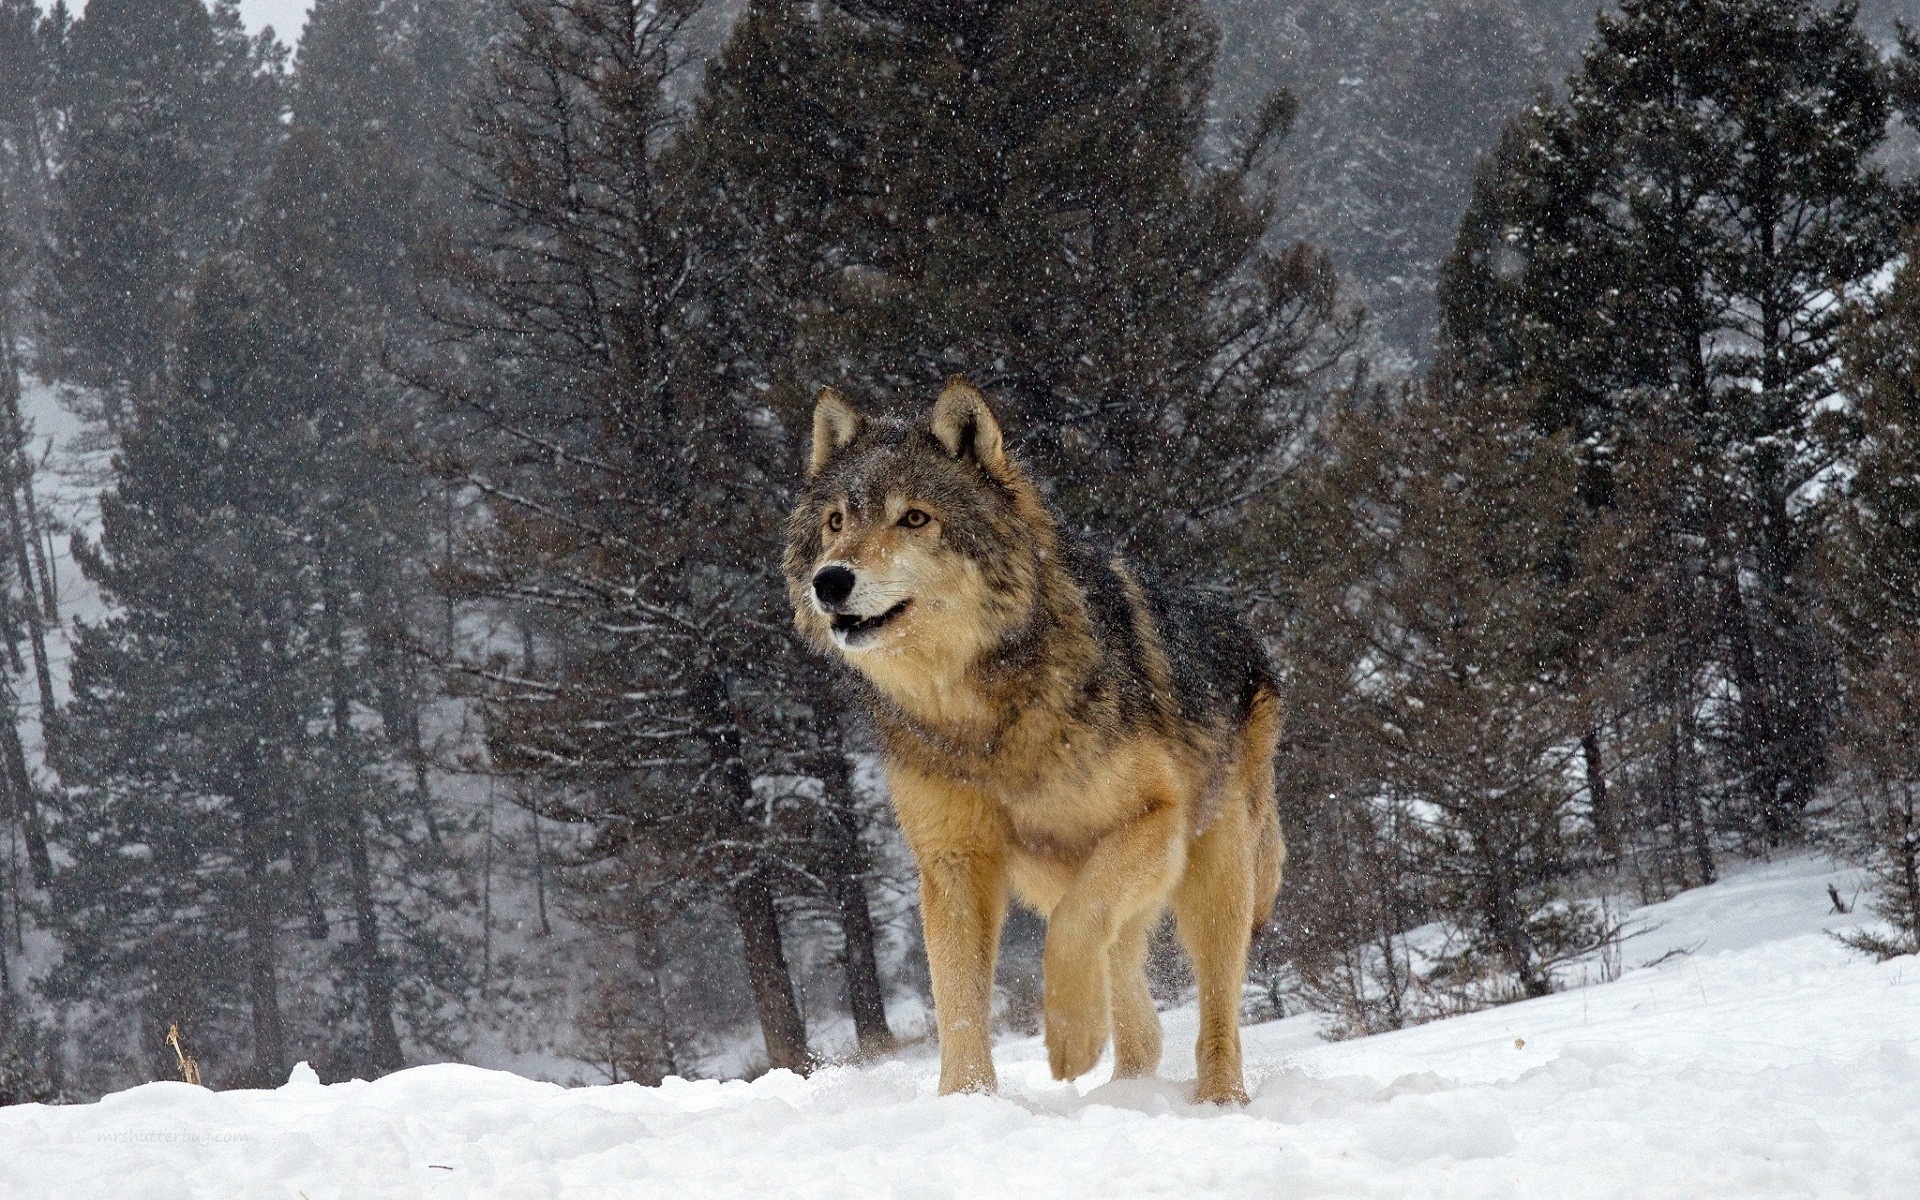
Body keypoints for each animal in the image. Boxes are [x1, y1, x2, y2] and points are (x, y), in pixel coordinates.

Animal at [787, 378, 1282, 1098]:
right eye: (836, 522)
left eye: (915, 518)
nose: (829, 580)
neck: (981, 719)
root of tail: (1243, 631)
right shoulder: (954, 863)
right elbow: (959, 1002)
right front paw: (967, 1102)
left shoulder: (1154, 817)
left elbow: (1078, 925)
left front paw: (1071, 1039)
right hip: (1065, 876)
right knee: (1134, 994)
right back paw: (1127, 1084)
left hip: (1212, 876)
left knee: (1213, 1004)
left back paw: (1218, 1098)